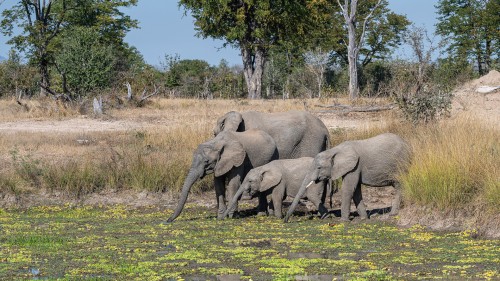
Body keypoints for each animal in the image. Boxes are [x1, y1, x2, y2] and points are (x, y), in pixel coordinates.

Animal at [284, 132, 412, 222]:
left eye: (319, 167)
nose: (285, 220)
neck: (335, 151)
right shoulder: (352, 168)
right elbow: (356, 191)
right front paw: (364, 218)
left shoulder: (354, 167)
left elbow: (348, 189)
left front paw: (343, 220)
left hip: (401, 164)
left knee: (400, 186)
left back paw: (393, 214)